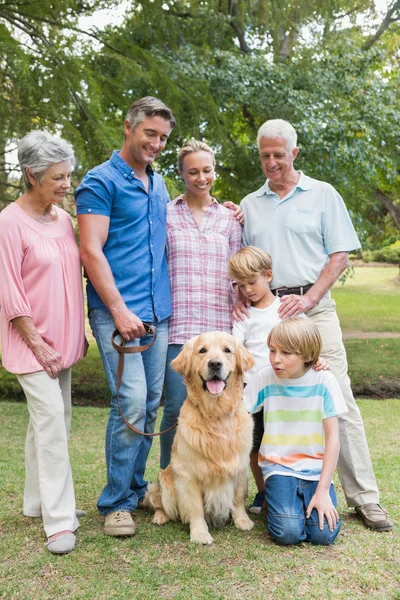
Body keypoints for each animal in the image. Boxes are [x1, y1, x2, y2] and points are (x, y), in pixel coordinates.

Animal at [145, 330, 255, 548]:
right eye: (202, 350)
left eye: (227, 350)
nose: (215, 364)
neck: (216, 414)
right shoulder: (188, 473)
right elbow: (195, 507)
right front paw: (199, 533)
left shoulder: (240, 466)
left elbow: (238, 497)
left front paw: (242, 520)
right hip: (164, 482)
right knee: (159, 503)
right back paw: (160, 517)